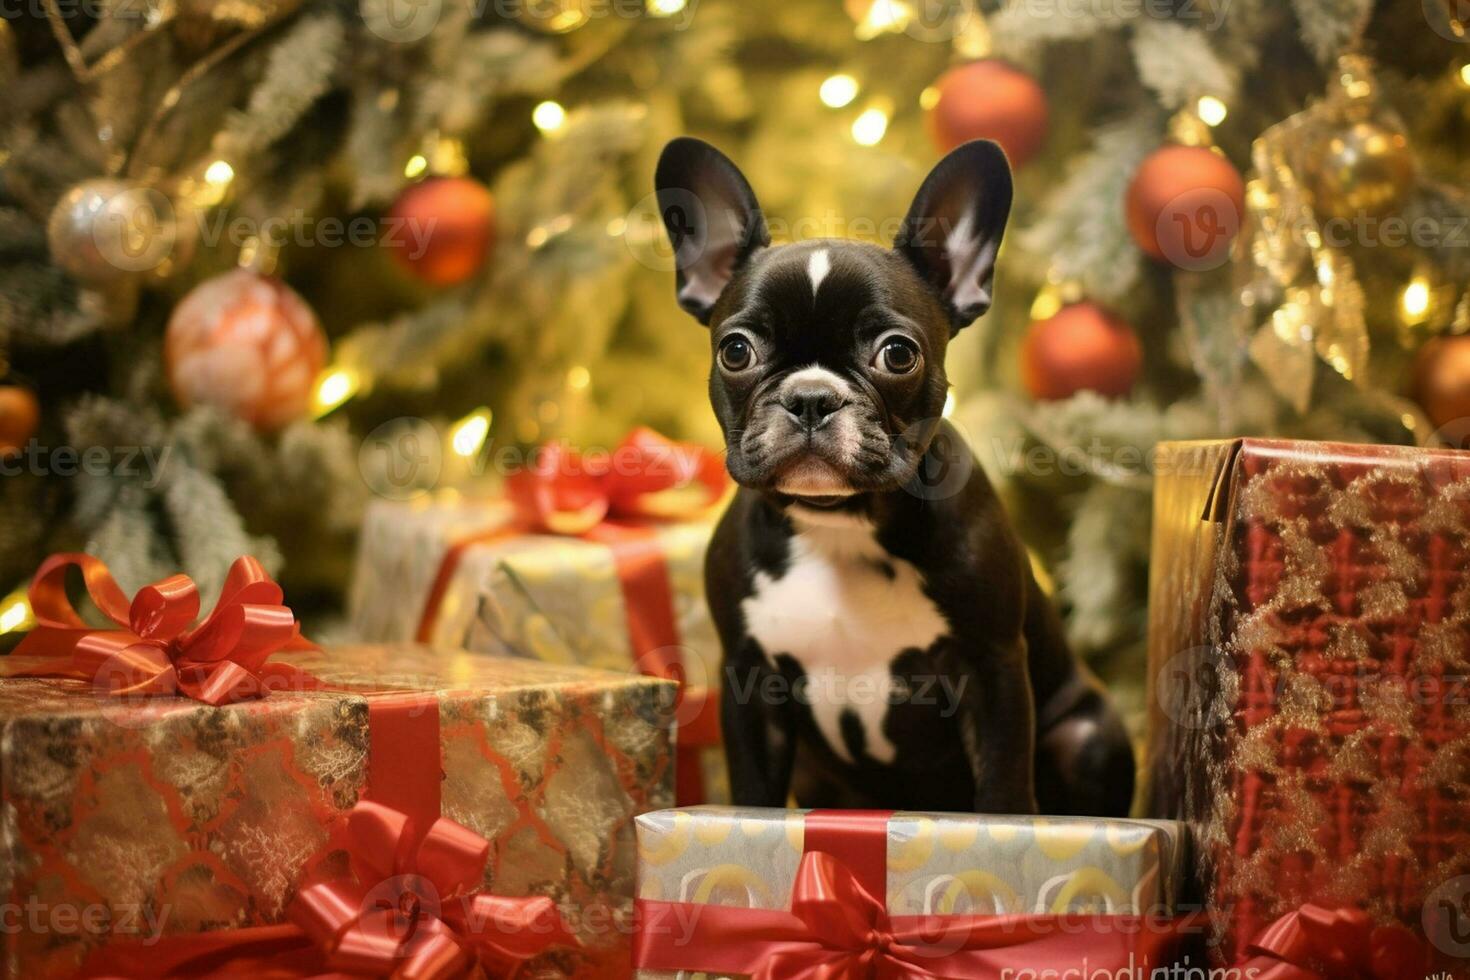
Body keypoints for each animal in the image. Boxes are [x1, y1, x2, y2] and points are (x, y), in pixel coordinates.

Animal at [658, 134, 1134, 816]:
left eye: (897, 354)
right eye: (736, 350)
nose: (810, 398)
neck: (839, 523)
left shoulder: (992, 672)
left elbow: (1004, 789)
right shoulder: (749, 683)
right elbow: (752, 791)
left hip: (1088, 735)